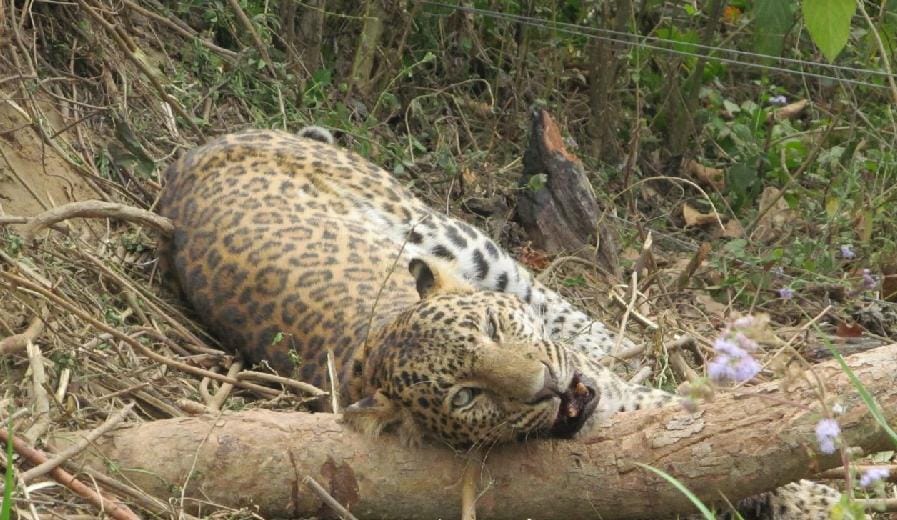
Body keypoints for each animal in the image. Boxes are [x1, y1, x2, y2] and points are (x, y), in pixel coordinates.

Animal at [157, 127, 849, 518]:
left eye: (493, 329)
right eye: (467, 397)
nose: (548, 384)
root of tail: (190, 154)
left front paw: (830, 495)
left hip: (443, 231)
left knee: (546, 294)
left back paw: (628, 340)